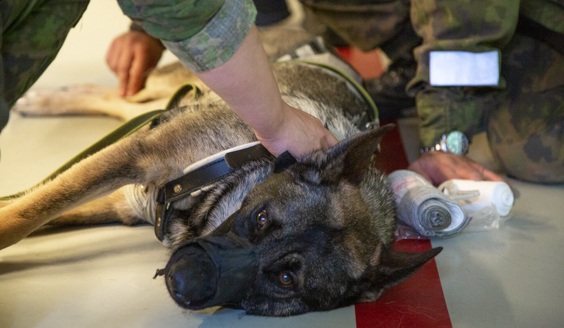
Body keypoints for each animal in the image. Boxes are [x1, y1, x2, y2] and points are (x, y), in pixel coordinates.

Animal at [0, 27, 440, 316]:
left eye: (286, 280)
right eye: (261, 218)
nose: (182, 279)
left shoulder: (127, 200)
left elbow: (28, 207)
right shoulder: (141, 155)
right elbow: (25, 214)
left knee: (128, 103)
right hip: (186, 81)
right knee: (131, 94)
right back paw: (46, 99)